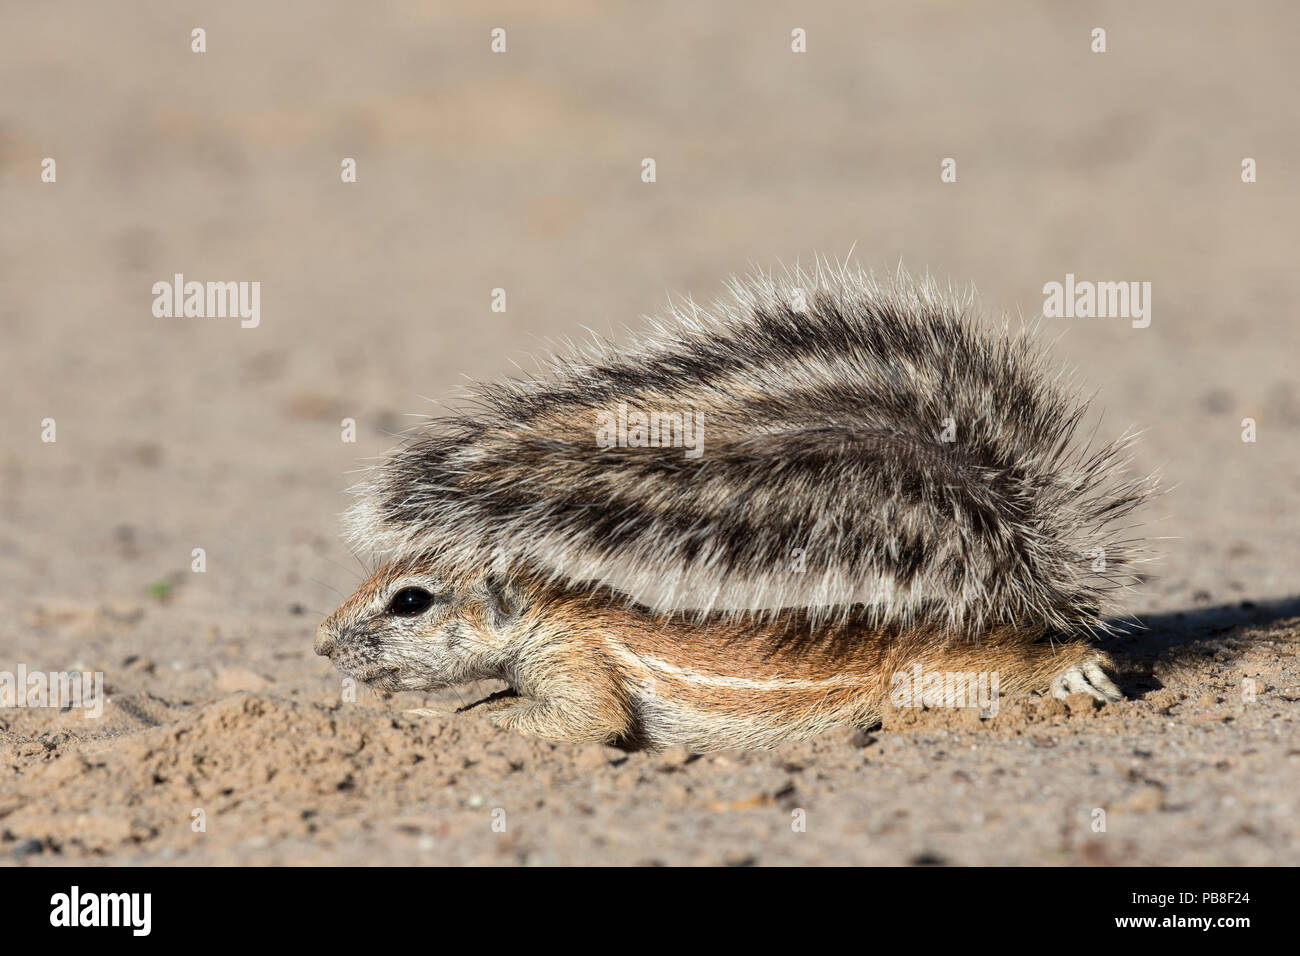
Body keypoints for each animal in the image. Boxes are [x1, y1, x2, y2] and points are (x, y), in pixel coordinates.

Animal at [314, 264, 1156, 752]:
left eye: (411, 600)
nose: (321, 644)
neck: (550, 610)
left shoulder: (579, 663)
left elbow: (583, 724)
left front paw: (439, 721)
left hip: (945, 673)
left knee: (1020, 665)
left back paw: (1079, 671)